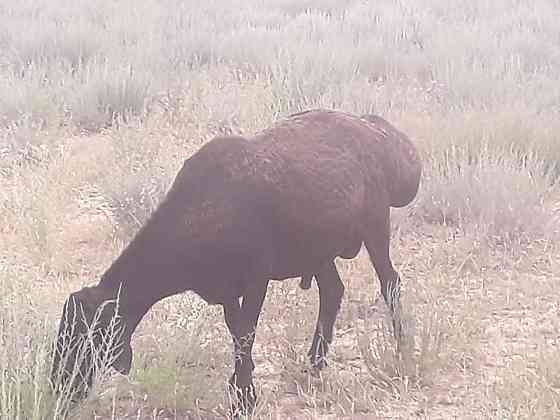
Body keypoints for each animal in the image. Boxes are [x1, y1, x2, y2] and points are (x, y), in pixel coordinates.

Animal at [51, 108, 420, 414]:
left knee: (390, 283)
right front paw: (243, 386)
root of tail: (377, 133)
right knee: (332, 291)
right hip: (317, 251)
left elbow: (246, 335)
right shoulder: (226, 291)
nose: (59, 388)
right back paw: (315, 362)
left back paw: (402, 348)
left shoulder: (257, 280)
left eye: (84, 340)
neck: (207, 209)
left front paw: (243, 396)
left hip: (375, 226)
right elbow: (237, 331)